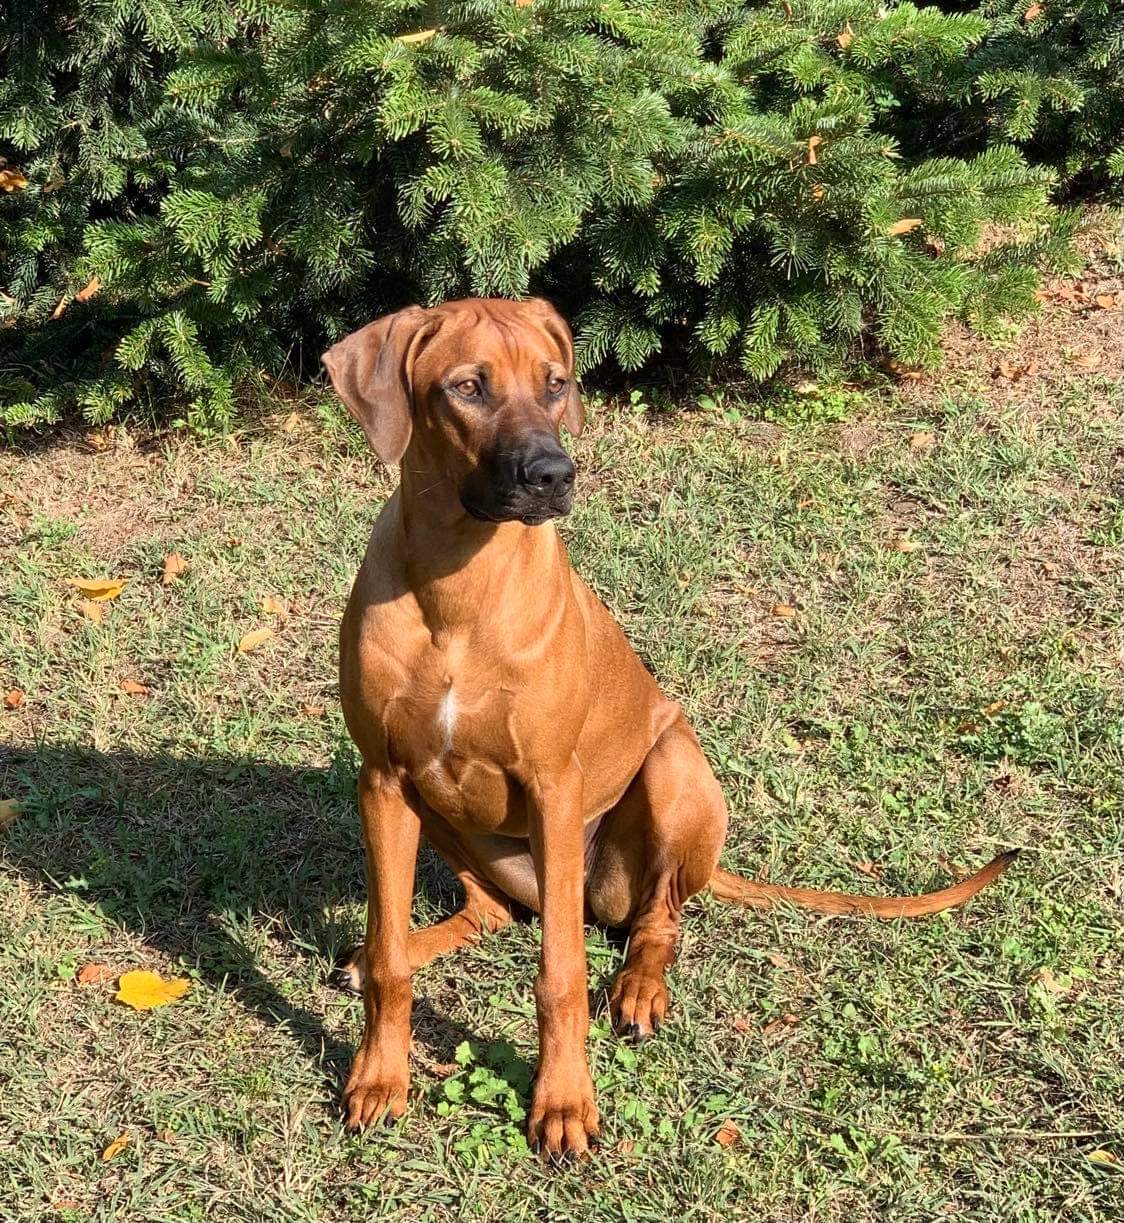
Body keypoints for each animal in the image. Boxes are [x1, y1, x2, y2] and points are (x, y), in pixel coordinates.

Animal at [322, 297, 1016, 1158]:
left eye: (555, 383)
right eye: (467, 387)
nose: (554, 474)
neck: (458, 582)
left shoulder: (553, 785)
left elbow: (560, 976)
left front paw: (563, 1101)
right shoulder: (382, 780)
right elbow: (391, 959)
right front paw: (379, 1074)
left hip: (674, 769)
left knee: (658, 919)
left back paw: (639, 988)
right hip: (444, 813)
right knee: (490, 913)